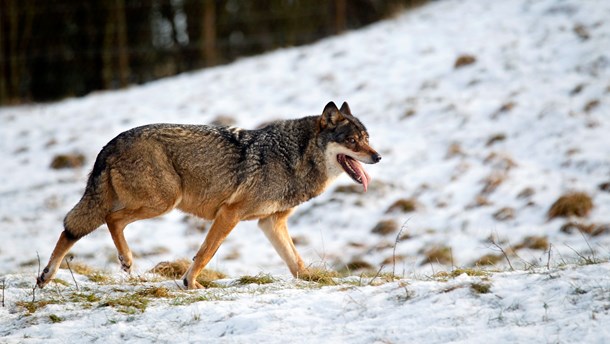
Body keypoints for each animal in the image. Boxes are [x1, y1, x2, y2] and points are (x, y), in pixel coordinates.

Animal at [35, 101, 378, 288]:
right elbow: (206, 252)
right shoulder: (230, 213)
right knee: (109, 219)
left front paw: (314, 280)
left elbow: (296, 262)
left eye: (367, 138)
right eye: (353, 141)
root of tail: (111, 142)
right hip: (162, 202)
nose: (378, 156)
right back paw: (126, 260)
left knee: (72, 228)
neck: (294, 157)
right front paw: (190, 283)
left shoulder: (270, 223)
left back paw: (47, 276)